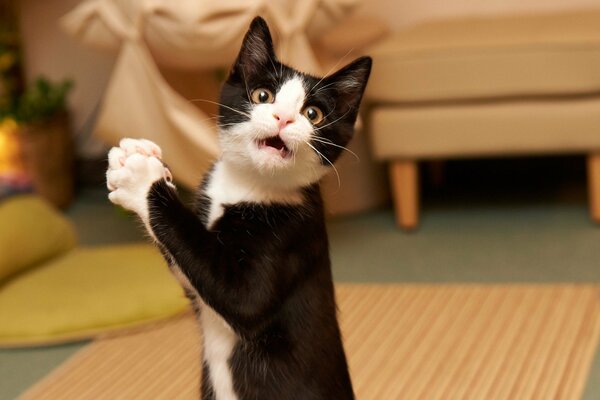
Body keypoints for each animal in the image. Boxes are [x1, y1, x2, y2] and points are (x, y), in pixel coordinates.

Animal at [106, 15, 372, 400]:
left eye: (313, 113)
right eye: (263, 96)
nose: (283, 118)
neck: (248, 184)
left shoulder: (291, 235)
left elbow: (235, 291)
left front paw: (141, 177)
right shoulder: (194, 283)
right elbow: (187, 264)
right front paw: (141, 154)